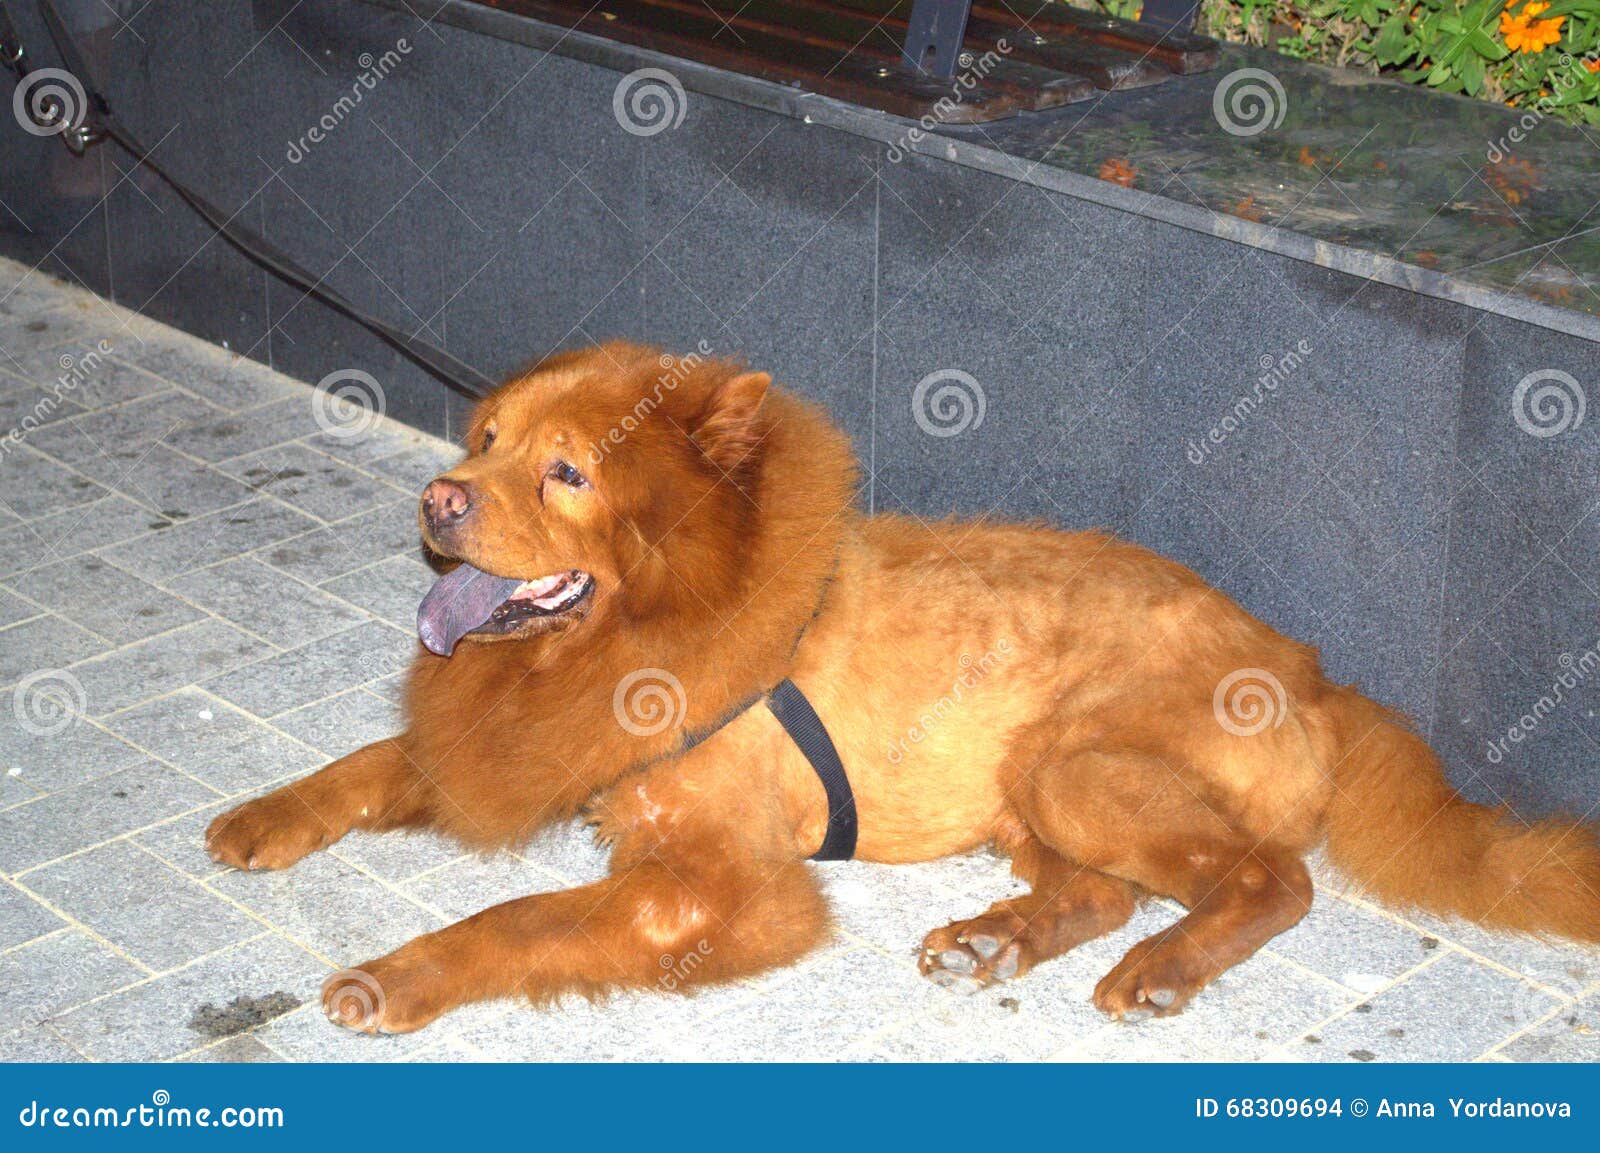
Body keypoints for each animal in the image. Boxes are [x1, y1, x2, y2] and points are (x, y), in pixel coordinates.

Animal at [206, 342, 1600, 1036]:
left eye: (565, 472)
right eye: (485, 441)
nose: (438, 499)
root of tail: (1320, 674)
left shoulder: (718, 882)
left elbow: (518, 922)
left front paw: (394, 980)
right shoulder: (518, 746)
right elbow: (376, 760)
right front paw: (263, 815)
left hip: (1076, 762)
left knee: (1265, 878)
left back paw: (1157, 968)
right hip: (1028, 792)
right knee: (1100, 888)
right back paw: (998, 938)